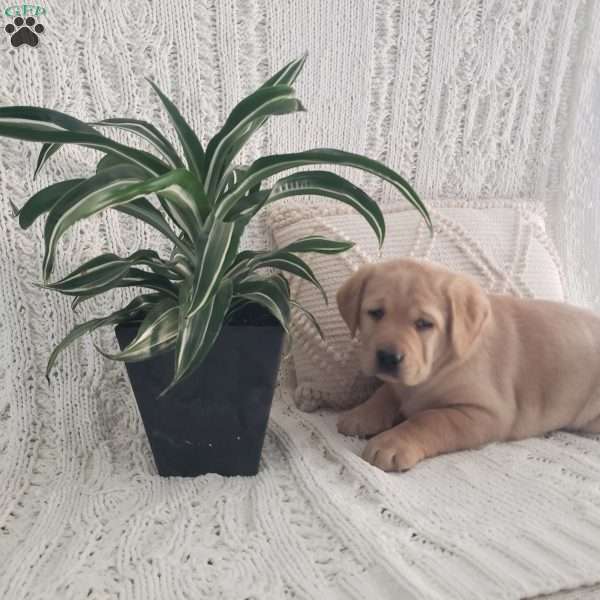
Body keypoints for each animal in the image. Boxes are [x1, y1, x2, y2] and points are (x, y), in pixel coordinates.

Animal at [338, 260, 600, 472]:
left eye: (424, 323)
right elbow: (385, 393)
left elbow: (430, 418)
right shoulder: (401, 384)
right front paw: (360, 414)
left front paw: (392, 442)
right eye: (376, 313)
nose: (388, 357)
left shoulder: (487, 413)